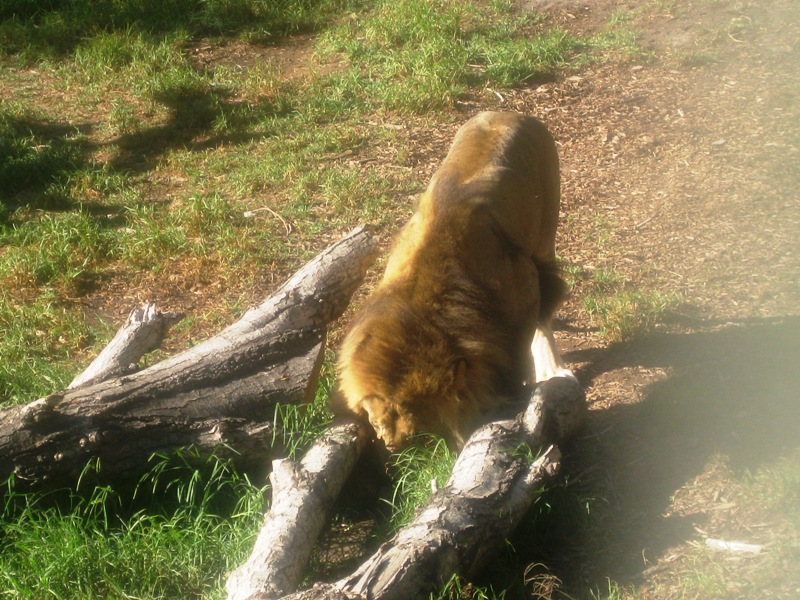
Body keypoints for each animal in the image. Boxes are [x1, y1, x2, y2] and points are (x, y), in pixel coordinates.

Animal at [334, 110, 572, 452]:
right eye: (376, 424)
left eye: (424, 429)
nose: (392, 446)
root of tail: (510, 112)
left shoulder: (527, 285)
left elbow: (524, 345)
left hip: (545, 233)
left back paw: (552, 367)